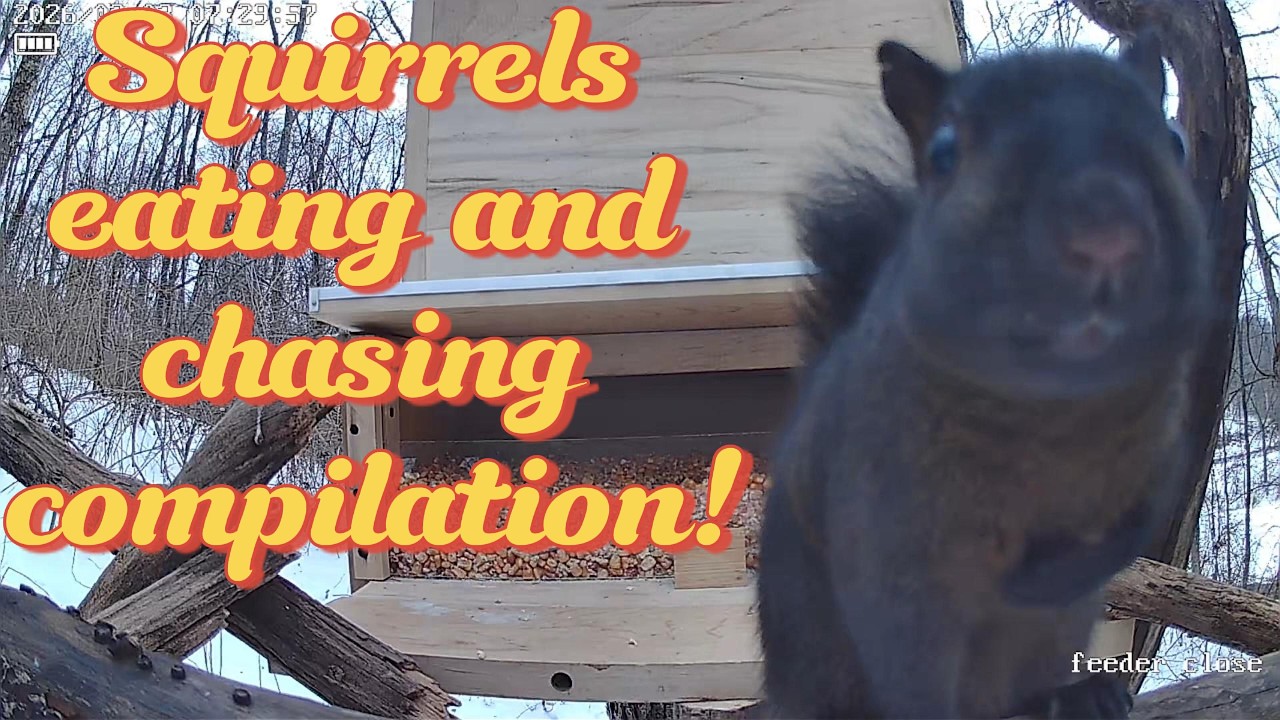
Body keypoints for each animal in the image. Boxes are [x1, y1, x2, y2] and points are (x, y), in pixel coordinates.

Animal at [756, 30, 1220, 720]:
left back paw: (1079, 692)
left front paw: (1045, 576)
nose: (1105, 229)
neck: (1054, 409)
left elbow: (1134, 528)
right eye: (945, 152)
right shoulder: (882, 513)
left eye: (1175, 141)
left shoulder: (1162, 452)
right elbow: (905, 639)